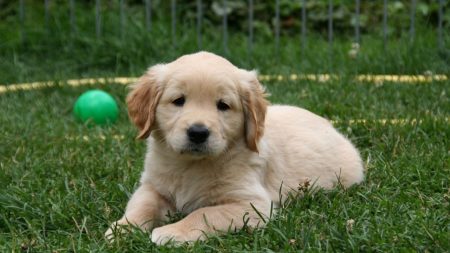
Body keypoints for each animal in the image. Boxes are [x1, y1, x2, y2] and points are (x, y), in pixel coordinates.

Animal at [106, 51, 366, 245]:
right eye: (178, 100)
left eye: (223, 105)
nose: (198, 132)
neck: (191, 165)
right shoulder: (153, 185)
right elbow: (142, 205)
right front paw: (122, 228)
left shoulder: (250, 204)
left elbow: (203, 213)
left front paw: (172, 232)